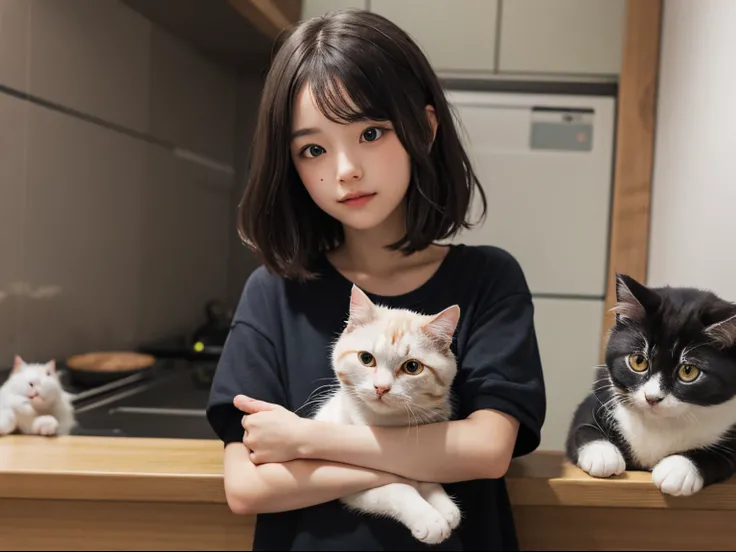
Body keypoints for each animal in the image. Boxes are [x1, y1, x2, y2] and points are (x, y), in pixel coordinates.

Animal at [314, 286, 462, 544]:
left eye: (412, 367)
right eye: (366, 358)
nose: (381, 388)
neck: (385, 425)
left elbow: (425, 476)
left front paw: (443, 503)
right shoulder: (350, 486)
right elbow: (398, 488)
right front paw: (429, 518)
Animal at [568, 274, 736, 496]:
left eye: (688, 371)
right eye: (638, 361)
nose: (652, 398)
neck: (659, 423)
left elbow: (719, 457)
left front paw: (678, 470)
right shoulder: (597, 399)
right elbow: (581, 428)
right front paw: (603, 454)